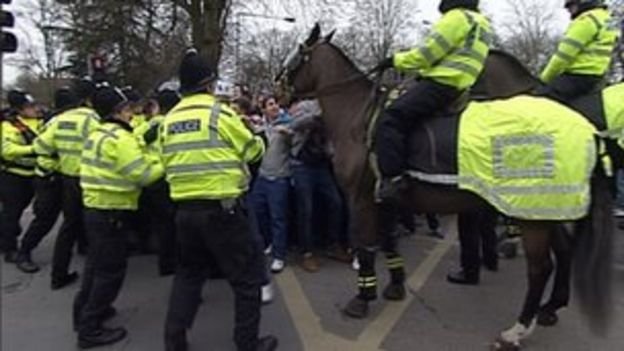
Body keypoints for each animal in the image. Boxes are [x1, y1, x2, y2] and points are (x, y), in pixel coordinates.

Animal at [278, 24, 616, 350]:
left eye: (294, 57)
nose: (278, 90)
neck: (357, 116)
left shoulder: (360, 199)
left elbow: (366, 244)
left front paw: (362, 298)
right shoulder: (385, 199)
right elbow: (388, 240)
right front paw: (395, 285)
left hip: (530, 212)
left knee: (540, 268)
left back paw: (516, 331)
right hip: (547, 208)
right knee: (564, 251)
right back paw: (549, 309)